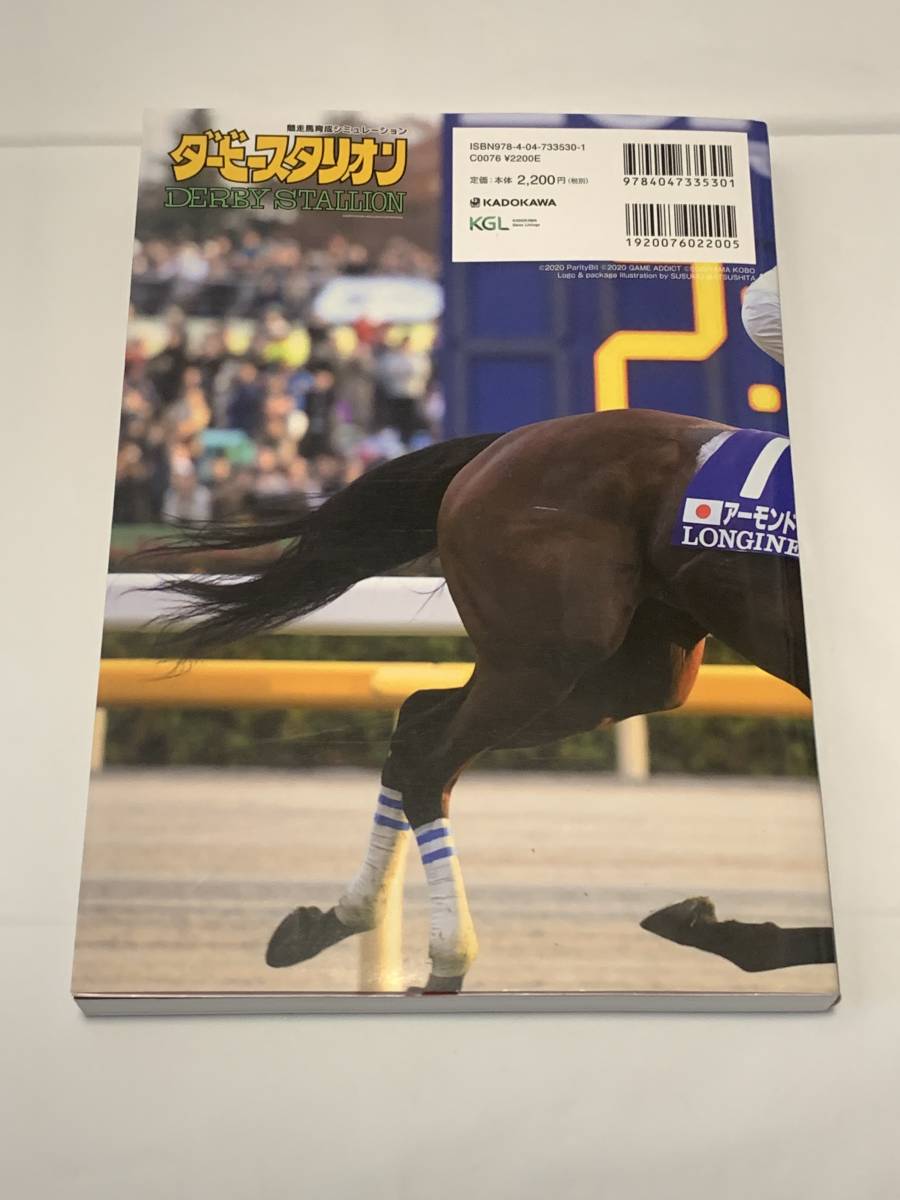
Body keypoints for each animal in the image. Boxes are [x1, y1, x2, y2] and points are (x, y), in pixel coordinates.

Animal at [154, 407, 836, 991]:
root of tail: (504, 443)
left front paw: (713, 925)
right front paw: (716, 925)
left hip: (624, 670)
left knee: (417, 719)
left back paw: (339, 919)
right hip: (544, 656)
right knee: (430, 762)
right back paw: (446, 958)